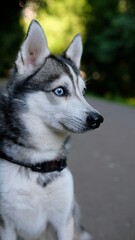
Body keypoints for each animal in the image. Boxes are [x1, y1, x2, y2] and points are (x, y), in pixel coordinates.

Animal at [0, 20, 103, 240]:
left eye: (83, 92)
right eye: (60, 91)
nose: (97, 119)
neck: (40, 162)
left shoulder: (64, 222)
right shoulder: (6, 225)